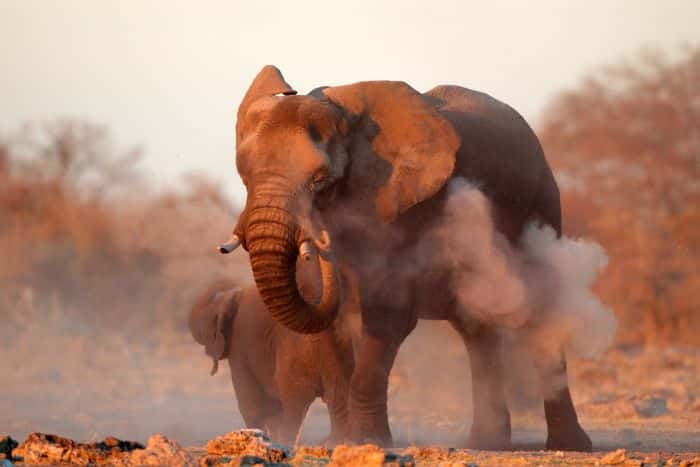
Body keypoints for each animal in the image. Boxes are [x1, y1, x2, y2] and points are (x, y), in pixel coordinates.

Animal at [218, 65, 593, 451]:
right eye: (245, 176)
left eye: (321, 180)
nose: (320, 243)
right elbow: (333, 328)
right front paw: (340, 441)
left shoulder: (403, 208)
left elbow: (387, 318)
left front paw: (366, 441)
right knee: (476, 327)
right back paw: (486, 443)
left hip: (542, 205)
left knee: (542, 315)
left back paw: (568, 446)